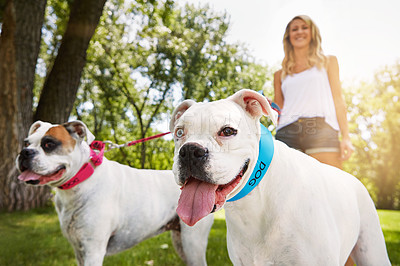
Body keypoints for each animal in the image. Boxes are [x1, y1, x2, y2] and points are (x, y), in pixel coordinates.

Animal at [16, 121, 214, 266]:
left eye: (49, 144)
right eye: (26, 143)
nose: (24, 152)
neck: (80, 182)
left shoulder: (93, 251)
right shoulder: (79, 250)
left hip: (192, 243)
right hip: (181, 242)